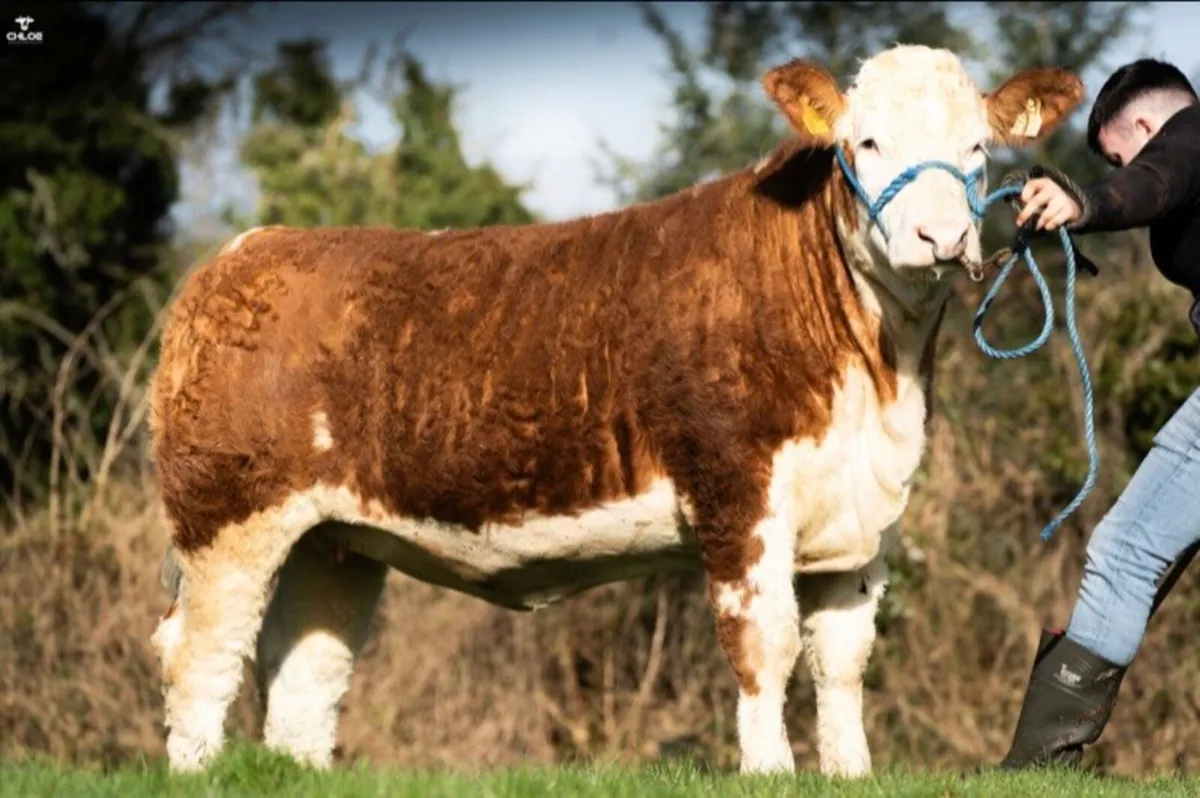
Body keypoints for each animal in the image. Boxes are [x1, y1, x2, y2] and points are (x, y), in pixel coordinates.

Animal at [148, 44, 1083, 777]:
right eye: (867, 140)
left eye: (977, 148)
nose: (940, 238)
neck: (875, 376)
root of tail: (248, 250)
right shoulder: (736, 490)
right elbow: (764, 644)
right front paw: (771, 771)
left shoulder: (864, 516)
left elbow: (843, 661)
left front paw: (850, 773)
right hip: (226, 516)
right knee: (199, 653)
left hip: (332, 541)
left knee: (306, 672)